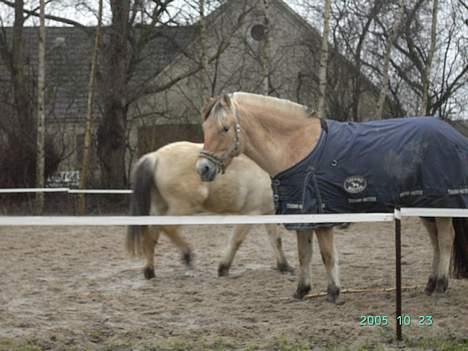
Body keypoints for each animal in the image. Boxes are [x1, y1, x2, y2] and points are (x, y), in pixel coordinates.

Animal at [124, 140, 292, 280]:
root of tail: (156, 156)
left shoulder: (268, 213)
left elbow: (276, 241)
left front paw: (285, 267)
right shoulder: (250, 213)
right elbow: (236, 241)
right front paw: (223, 268)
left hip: (160, 207)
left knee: (151, 236)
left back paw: (149, 271)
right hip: (182, 207)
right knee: (168, 228)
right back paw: (187, 256)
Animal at [196, 92, 468, 304]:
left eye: (225, 128)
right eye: (205, 129)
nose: (203, 169)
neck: (298, 150)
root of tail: (455, 137)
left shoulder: (322, 217)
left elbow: (327, 255)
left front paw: (334, 292)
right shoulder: (302, 216)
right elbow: (304, 254)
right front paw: (301, 291)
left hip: (441, 206)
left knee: (445, 240)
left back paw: (441, 286)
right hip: (424, 208)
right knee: (435, 242)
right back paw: (430, 284)